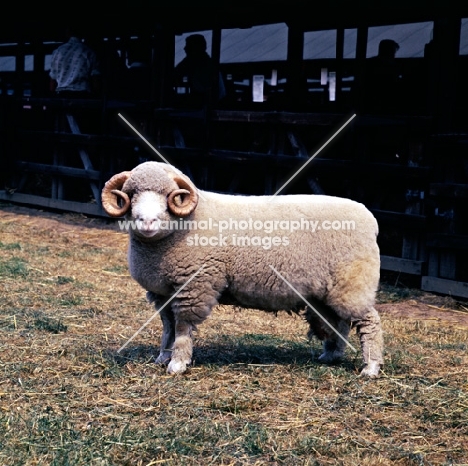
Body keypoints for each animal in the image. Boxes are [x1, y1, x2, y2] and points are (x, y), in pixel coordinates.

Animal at [102, 160, 384, 374]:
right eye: (131, 193)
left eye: (169, 194)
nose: (147, 221)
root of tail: (370, 219)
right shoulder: (162, 291)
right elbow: (168, 326)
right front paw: (163, 357)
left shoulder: (194, 287)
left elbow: (182, 327)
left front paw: (178, 363)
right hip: (329, 291)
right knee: (339, 323)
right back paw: (331, 356)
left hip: (353, 283)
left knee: (370, 323)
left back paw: (370, 367)